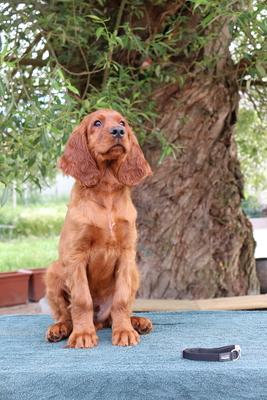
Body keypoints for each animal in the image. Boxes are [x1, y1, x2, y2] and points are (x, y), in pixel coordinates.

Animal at [45, 108, 153, 346]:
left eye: (122, 123)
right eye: (97, 123)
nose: (118, 132)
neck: (106, 188)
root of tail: (99, 321)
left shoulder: (126, 253)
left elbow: (121, 299)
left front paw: (124, 331)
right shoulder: (76, 254)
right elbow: (81, 300)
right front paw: (83, 334)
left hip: (135, 273)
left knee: (115, 313)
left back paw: (136, 322)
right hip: (53, 271)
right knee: (65, 314)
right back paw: (61, 328)